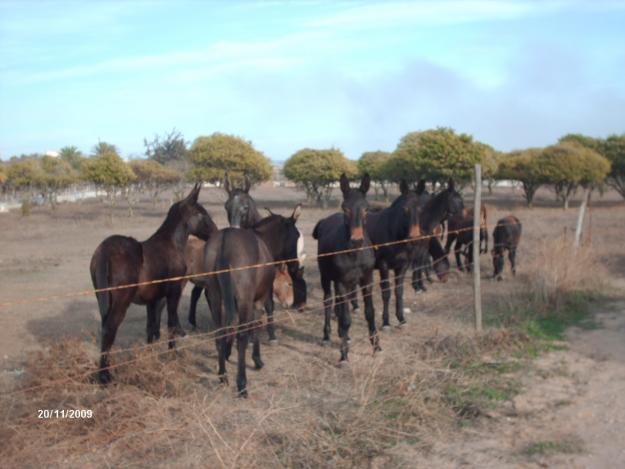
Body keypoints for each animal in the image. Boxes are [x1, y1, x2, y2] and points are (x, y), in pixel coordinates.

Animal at [89, 185, 213, 382]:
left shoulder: (152, 299)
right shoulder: (173, 292)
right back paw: (105, 376)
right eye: (201, 213)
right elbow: (170, 323)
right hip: (121, 303)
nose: (215, 231)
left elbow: (152, 328)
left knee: (106, 330)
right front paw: (173, 354)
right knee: (109, 329)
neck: (171, 244)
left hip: (105, 301)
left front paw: (151, 355)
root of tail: (104, 251)